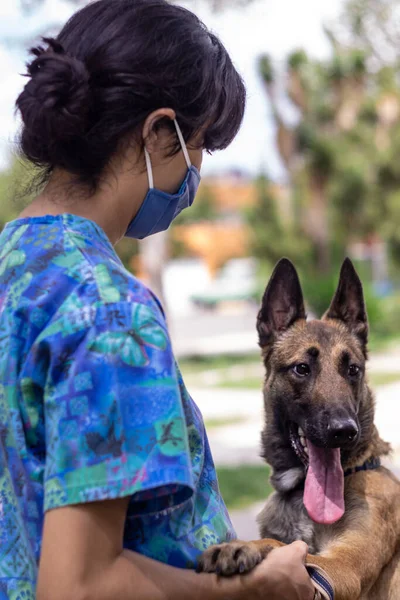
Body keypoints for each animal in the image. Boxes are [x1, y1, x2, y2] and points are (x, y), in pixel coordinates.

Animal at [198, 258, 400, 600]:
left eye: (353, 369)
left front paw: (244, 546)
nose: (344, 430)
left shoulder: (344, 567)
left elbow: (283, 545)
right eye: (302, 369)